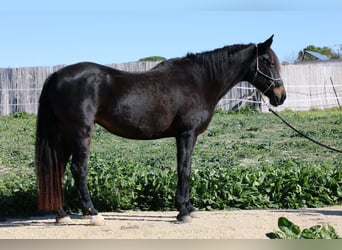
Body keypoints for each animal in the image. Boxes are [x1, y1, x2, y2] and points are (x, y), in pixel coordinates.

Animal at [34, 35, 286, 225]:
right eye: (268, 61)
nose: (280, 96)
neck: (199, 81)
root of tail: (56, 75)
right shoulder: (186, 134)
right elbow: (184, 169)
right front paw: (183, 211)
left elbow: (185, 168)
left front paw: (188, 207)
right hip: (80, 133)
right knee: (78, 169)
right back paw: (93, 214)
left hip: (65, 135)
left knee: (58, 168)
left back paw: (62, 214)